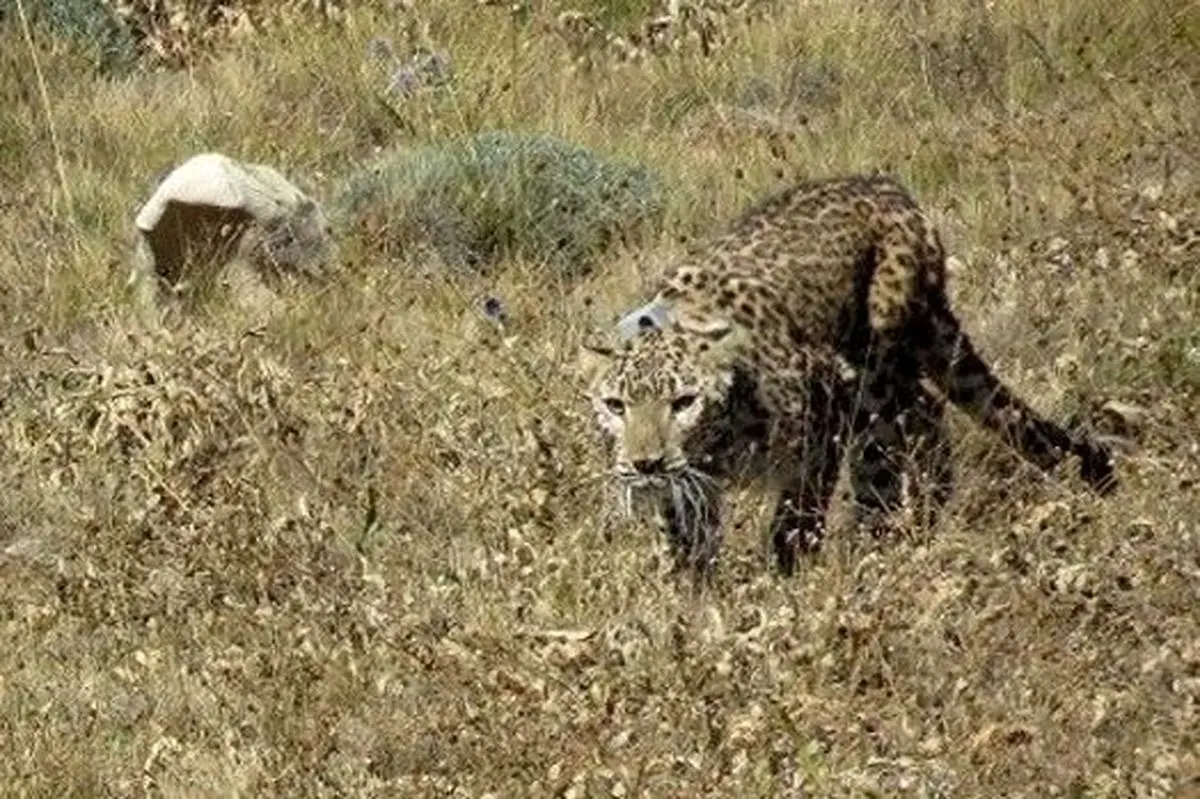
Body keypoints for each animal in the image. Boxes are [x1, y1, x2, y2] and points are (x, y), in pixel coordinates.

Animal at [576, 171, 1118, 575]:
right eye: (616, 405)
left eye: (684, 402)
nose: (646, 463)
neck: (718, 443)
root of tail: (887, 187)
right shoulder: (687, 487)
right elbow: (688, 545)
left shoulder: (823, 422)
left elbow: (796, 518)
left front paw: (788, 577)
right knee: (924, 409)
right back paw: (922, 513)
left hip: (875, 361)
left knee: (895, 436)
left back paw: (879, 536)